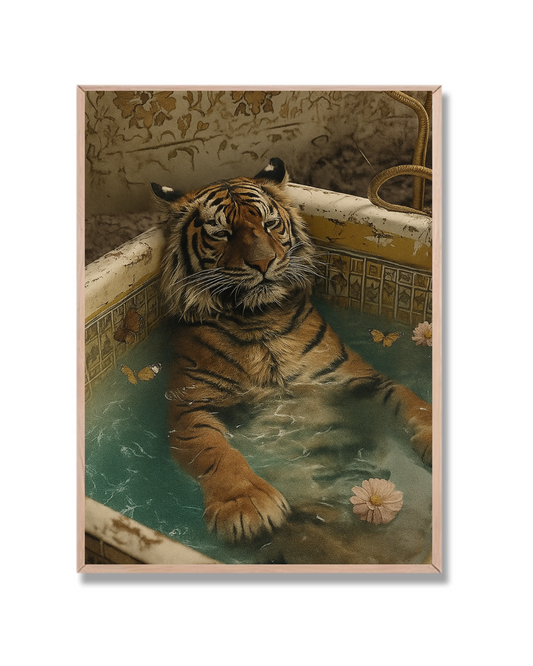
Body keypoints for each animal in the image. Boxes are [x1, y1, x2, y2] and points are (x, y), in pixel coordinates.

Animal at [152, 157, 432, 546]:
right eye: (222, 233)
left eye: (269, 224)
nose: (263, 263)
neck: (258, 319)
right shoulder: (190, 406)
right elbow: (215, 451)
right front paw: (245, 505)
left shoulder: (353, 378)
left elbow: (411, 402)